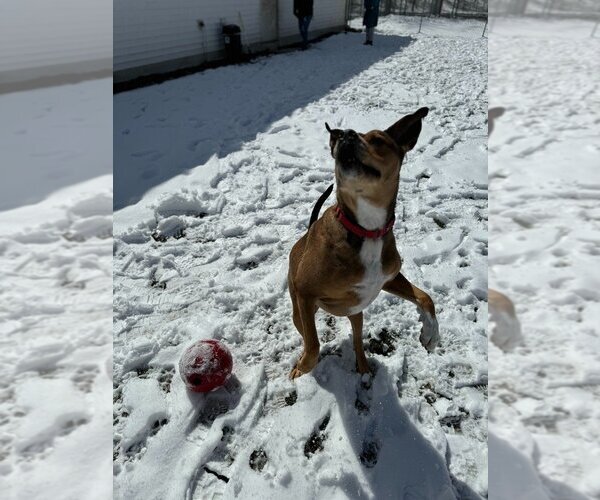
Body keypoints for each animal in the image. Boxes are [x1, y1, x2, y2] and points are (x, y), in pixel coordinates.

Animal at [288, 108, 438, 378]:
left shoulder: (388, 278)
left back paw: (363, 364)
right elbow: (313, 345)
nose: (344, 134)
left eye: (378, 139)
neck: (366, 229)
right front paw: (302, 367)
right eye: (338, 138)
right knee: (307, 333)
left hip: (356, 313)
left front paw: (431, 335)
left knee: (357, 339)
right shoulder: (305, 292)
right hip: (299, 309)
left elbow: (425, 297)